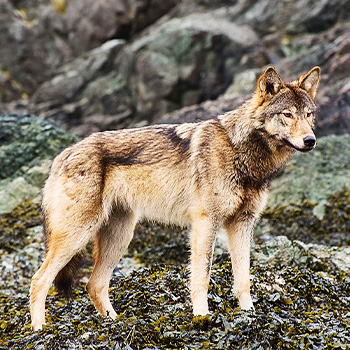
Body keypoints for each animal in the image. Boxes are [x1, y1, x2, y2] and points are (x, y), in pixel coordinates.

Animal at [29, 66, 320, 330]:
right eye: (287, 114)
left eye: (308, 115)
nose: (311, 140)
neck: (242, 151)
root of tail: (61, 155)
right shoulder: (205, 222)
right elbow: (202, 277)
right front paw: (202, 317)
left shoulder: (242, 223)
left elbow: (243, 278)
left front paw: (249, 314)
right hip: (78, 235)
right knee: (38, 281)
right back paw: (39, 330)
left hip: (119, 236)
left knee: (94, 284)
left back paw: (116, 324)